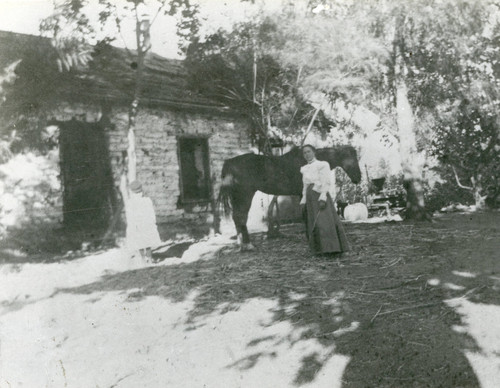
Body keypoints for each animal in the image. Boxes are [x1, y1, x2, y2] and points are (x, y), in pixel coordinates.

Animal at [217, 145, 362, 249]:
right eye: (352, 158)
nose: (358, 178)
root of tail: (230, 162)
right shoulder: (302, 193)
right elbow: (305, 214)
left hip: (237, 197)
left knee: (237, 217)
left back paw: (241, 243)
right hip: (244, 195)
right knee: (241, 217)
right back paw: (247, 245)